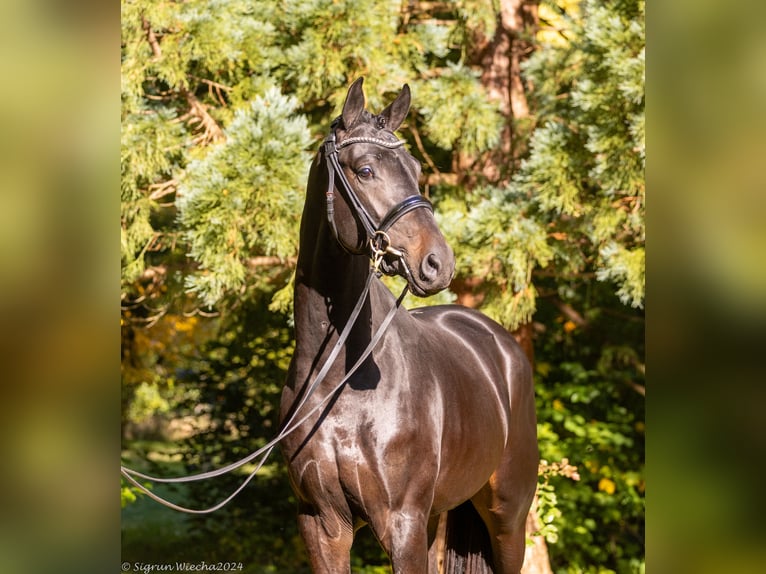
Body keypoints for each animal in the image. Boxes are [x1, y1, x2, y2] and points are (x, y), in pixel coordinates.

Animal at [280, 79, 536, 572]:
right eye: (364, 170)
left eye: (415, 168)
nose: (438, 263)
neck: (340, 378)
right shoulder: (320, 523)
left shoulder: (402, 522)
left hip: (507, 518)